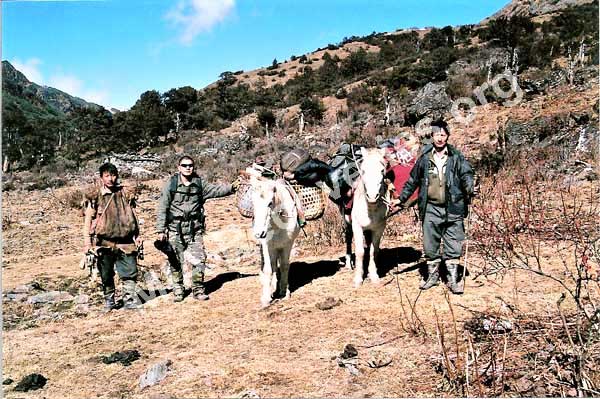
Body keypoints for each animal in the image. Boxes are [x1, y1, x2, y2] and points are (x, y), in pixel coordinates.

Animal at [251, 176, 302, 310]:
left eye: (270, 203)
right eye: (253, 204)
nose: (259, 233)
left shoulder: (287, 245)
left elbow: (284, 266)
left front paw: (284, 292)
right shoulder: (267, 245)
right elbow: (268, 269)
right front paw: (266, 298)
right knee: (273, 266)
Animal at [350, 147, 386, 288]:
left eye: (382, 170)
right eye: (363, 170)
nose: (372, 196)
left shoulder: (378, 229)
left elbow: (373, 251)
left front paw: (374, 275)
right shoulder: (357, 227)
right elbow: (360, 251)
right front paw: (358, 278)